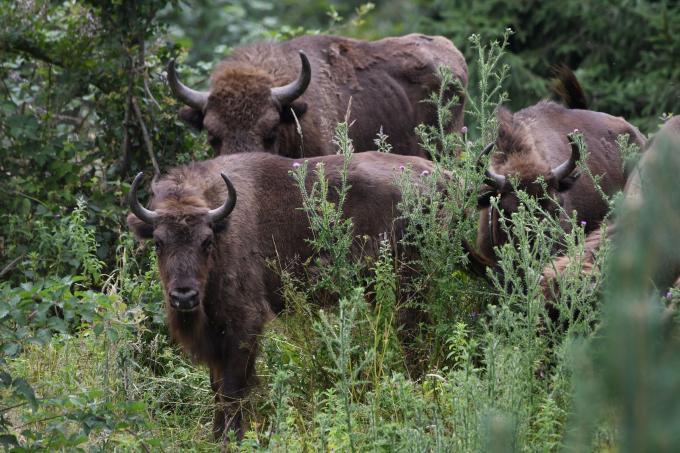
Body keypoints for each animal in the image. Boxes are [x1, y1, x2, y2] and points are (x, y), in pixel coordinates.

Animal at [127, 150, 436, 440]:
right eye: (158, 242)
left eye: (206, 241)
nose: (184, 297)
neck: (223, 225)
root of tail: (439, 175)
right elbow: (216, 388)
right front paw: (217, 436)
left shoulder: (244, 325)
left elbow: (231, 389)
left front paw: (233, 437)